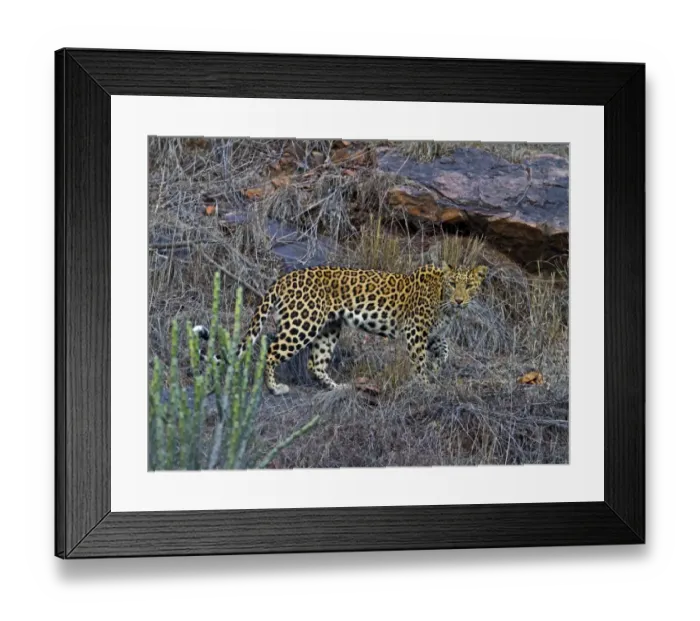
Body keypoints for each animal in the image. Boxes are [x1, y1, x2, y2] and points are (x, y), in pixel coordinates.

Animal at [194, 261, 488, 396]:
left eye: (469, 286)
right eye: (453, 285)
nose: (460, 300)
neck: (443, 301)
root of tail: (283, 279)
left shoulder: (434, 334)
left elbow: (445, 349)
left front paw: (436, 368)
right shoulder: (416, 330)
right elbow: (418, 361)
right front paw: (425, 384)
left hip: (329, 328)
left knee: (315, 362)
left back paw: (336, 387)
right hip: (303, 323)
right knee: (271, 351)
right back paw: (275, 388)